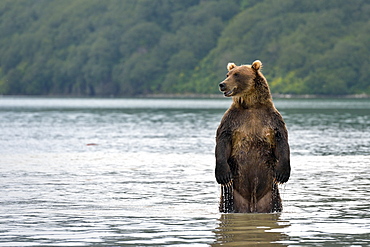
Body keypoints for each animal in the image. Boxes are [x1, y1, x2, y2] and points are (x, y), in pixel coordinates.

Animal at [215, 59, 290, 212]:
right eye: (228, 74)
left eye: (237, 74)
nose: (222, 84)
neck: (251, 105)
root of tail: (251, 204)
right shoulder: (232, 120)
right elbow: (222, 140)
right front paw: (223, 175)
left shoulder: (272, 118)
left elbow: (281, 140)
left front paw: (282, 173)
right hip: (232, 197)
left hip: (271, 195)